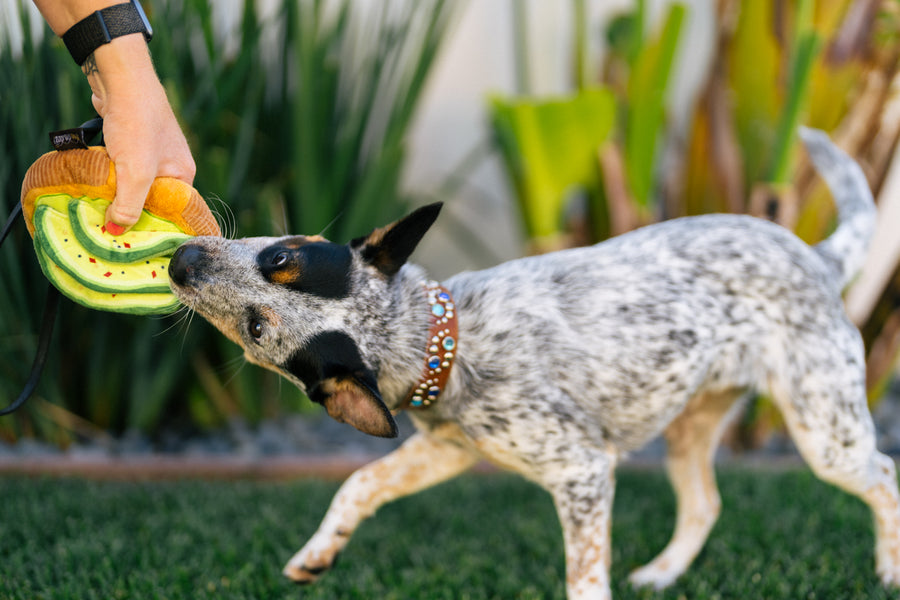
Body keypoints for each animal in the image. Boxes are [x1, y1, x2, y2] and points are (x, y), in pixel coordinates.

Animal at [167, 127, 900, 600]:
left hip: (824, 430)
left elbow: (584, 579)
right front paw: (317, 555)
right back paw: (662, 574)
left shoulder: (582, 473)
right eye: (260, 321)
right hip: (691, 423)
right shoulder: (447, 449)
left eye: (281, 261)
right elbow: (359, 484)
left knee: (884, 475)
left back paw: (890, 570)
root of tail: (817, 255)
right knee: (705, 503)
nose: (180, 259)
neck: (442, 342)